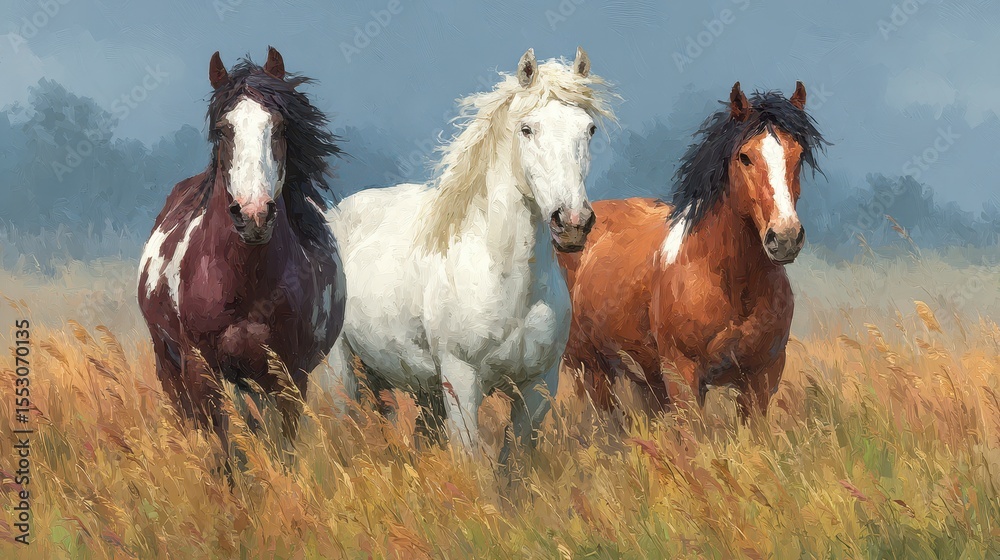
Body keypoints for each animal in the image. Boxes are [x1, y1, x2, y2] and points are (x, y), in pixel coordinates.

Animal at [138, 47, 345, 458]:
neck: (243, 279)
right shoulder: (200, 372)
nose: (253, 214)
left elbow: (281, 452)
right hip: (168, 364)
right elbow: (223, 453)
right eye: (223, 130)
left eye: (280, 128)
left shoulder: (287, 376)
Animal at [327, 48, 615, 461]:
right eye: (527, 129)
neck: (508, 280)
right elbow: (472, 462)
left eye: (589, 129)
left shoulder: (537, 387)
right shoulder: (461, 381)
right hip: (343, 369)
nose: (573, 221)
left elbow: (515, 464)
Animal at [559, 82, 827, 420]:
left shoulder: (762, 379)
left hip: (646, 379)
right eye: (745, 157)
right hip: (594, 367)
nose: (786, 236)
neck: (730, 281)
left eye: (799, 155)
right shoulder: (682, 377)